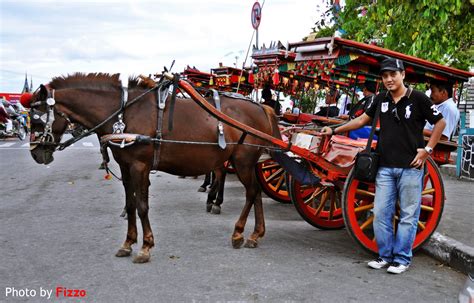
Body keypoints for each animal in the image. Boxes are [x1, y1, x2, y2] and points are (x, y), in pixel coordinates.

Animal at [26, 73, 282, 264]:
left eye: (37, 118)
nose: (36, 154)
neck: (123, 113)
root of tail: (262, 108)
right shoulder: (125, 167)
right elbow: (130, 205)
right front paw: (128, 243)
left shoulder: (140, 166)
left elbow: (142, 206)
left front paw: (146, 246)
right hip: (247, 163)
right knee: (256, 192)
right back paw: (255, 234)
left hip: (243, 160)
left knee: (251, 192)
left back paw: (238, 232)